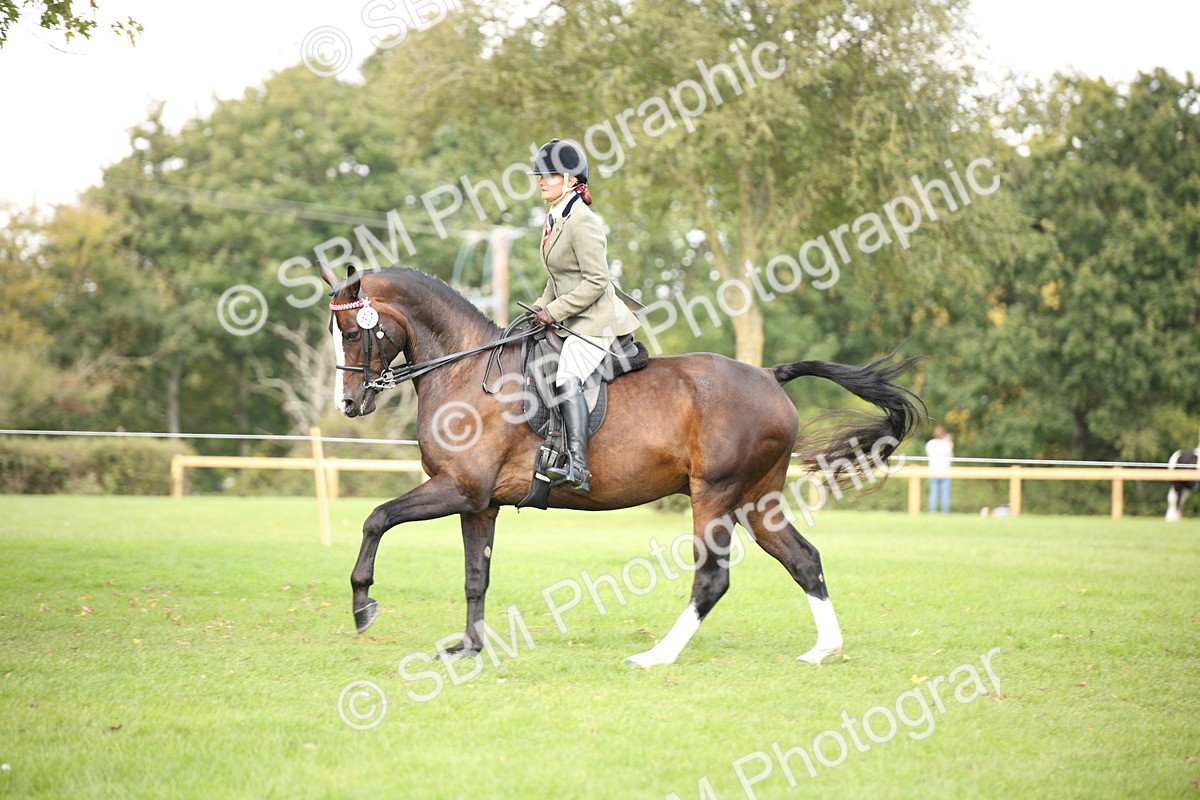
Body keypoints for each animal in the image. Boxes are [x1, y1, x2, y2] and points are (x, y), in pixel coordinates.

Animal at [319, 264, 923, 667]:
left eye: (352, 332)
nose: (348, 404)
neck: (467, 371)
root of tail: (768, 375)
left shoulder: (459, 488)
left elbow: (376, 518)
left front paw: (363, 604)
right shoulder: (479, 503)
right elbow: (475, 576)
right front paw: (468, 648)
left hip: (715, 495)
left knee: (712, 578)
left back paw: (657, 656)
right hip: (757, 501)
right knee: (803, 559)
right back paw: (825, 648)